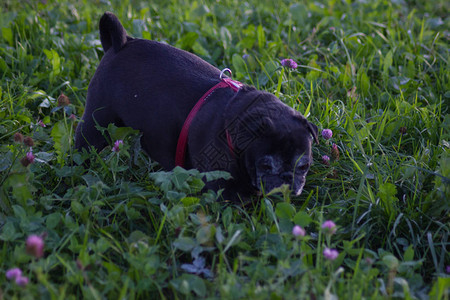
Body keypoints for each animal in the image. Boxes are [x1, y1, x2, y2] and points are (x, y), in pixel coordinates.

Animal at [75, 12, 318, 199]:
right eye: (266, 166)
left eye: (304, 166)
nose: (287, 181)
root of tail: (121, 43)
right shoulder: (220, 189)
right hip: (98, 120)